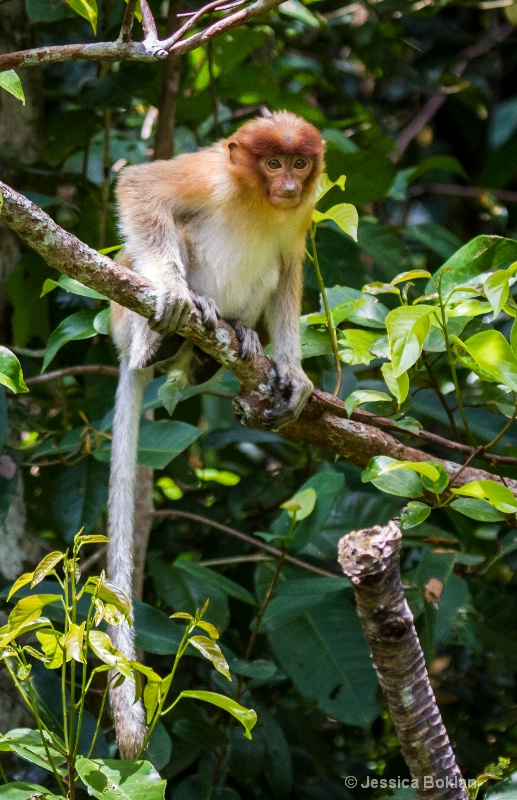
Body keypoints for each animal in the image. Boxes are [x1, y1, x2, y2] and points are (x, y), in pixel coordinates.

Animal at [108, 111, 324, 756]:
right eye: (271, 163)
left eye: (299, 163)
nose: (288, 185)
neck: (256, 198)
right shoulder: (211, 176)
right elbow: (141, 188)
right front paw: (178, 296)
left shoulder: (300, 218)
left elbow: (291, 268)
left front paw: (295, 375)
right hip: (127, 315)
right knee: (170, 238)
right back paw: (167, 337)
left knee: (272, 271)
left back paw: (224, 346)